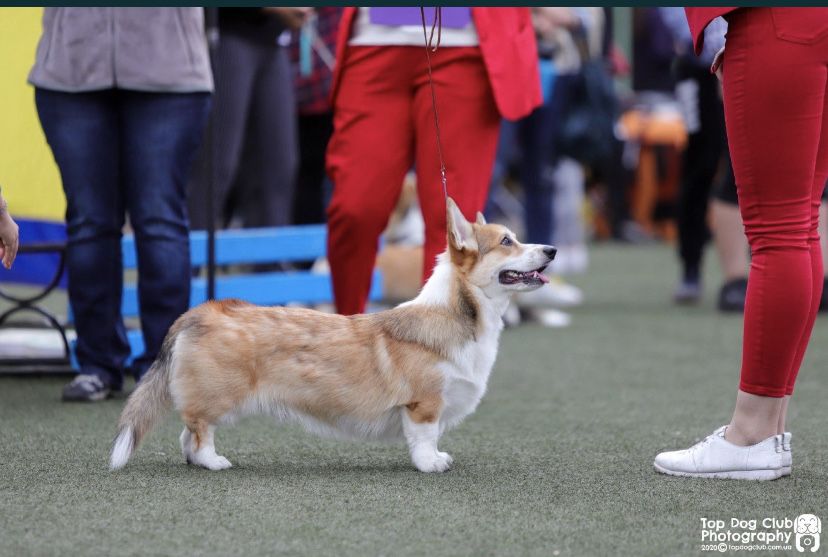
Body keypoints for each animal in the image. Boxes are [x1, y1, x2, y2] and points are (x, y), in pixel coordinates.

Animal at [106, 198, 552, 472]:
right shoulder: (422, 404)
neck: (459, 314)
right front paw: (432, 464)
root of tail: (199, 311)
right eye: (507, 242)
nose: (552, 250)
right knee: (198, 430)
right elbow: (424, 439)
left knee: (187, 434)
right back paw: (214, 461)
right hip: (221, 397)